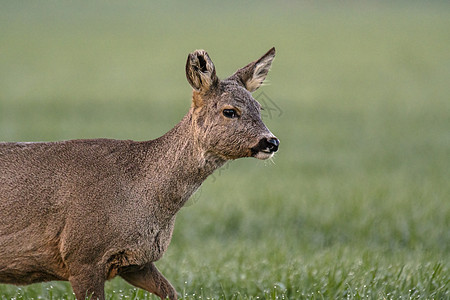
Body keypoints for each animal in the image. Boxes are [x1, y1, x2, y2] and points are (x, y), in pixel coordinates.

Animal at [0, 48, 280, 298]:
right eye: (229, 111)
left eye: (259, 108)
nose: (271, 142)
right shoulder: (82, 255)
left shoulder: (137, 262)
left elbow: (172, 292)